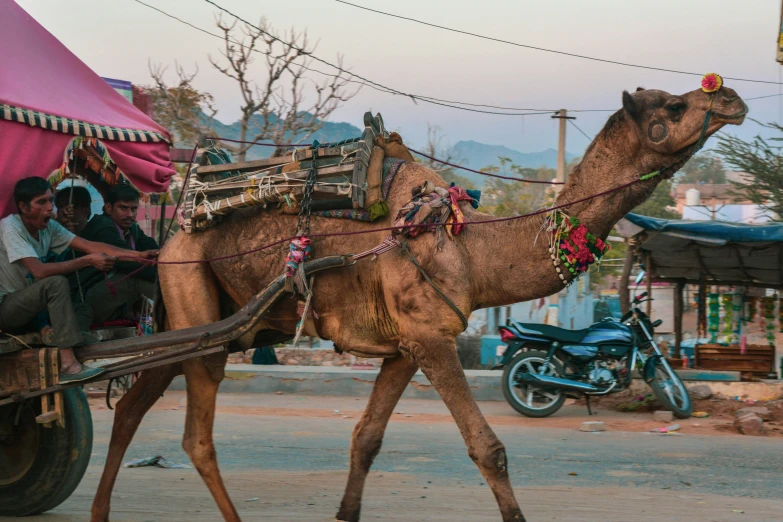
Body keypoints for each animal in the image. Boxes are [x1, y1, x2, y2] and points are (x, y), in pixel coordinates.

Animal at [89, 83, 744, 516]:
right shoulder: (433, 338)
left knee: (132, 405)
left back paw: (99, 509)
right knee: (195, 437)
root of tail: (173, 234)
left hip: (200, 319)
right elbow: (489, 449)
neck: (471, 248)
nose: (732, 97)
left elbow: (366, 439)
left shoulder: (407, 346)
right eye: (675, 106)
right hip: (196, 304)